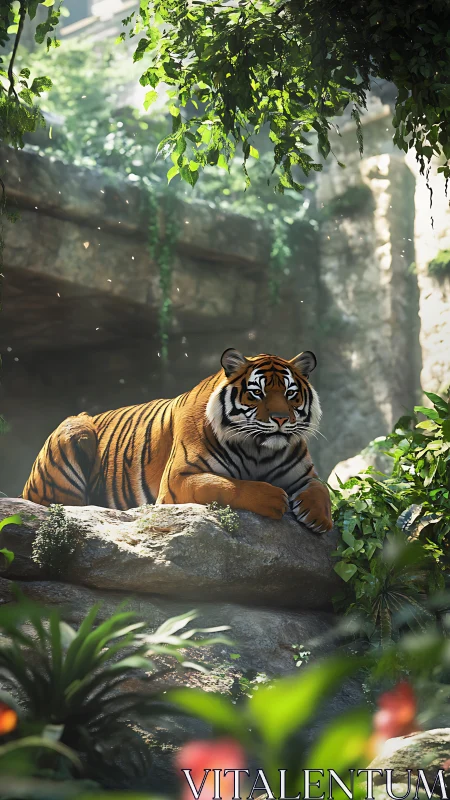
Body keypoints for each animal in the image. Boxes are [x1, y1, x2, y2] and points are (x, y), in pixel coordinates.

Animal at [22, 348, 332, 532]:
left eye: (291, 393)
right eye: (257, 393)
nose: (281, 419)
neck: (259, 450)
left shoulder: (306, 475)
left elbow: (321, 489)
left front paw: (318, 517)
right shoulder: (178, 478)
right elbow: (227, 485)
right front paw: (273, 498)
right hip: (74, 431)